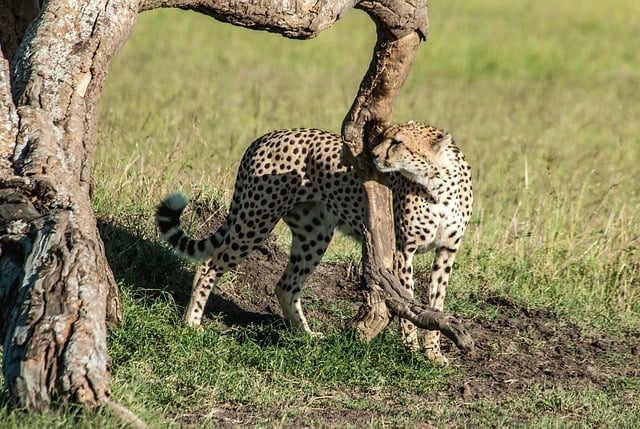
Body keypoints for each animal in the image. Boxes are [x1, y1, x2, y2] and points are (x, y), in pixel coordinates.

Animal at [158, 120, 472, 362]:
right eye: (383, 137)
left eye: (397, 142)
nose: (372, 156)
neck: (437, 184)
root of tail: (267, 135)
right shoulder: (402, 250)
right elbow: (408, 300)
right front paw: (410, 347)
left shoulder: (447, 251)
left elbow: (436, 302)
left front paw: (433, 354)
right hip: (257, 219)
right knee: (209, 265)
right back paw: (192, 322)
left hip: (314, 234)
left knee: (286, 285)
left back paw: (306, 335)